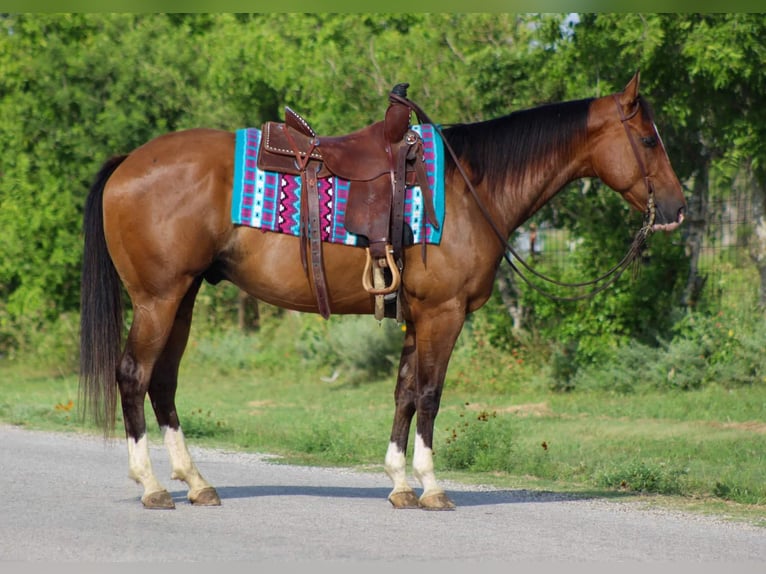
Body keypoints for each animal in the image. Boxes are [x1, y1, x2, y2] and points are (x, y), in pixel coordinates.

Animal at [79, 71, 686, 511]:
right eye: (648, 139)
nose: (679, 208)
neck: (469, 187)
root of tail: (128, 162)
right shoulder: (444, 313)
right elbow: (430, 395)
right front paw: (432, 487)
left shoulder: (418, 316)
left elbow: (403, 393)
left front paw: (399, 482)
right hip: (158, 299)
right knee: (133, 376)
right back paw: (153, 486)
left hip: (182, 299)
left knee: (163, 383)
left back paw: (196, 482)